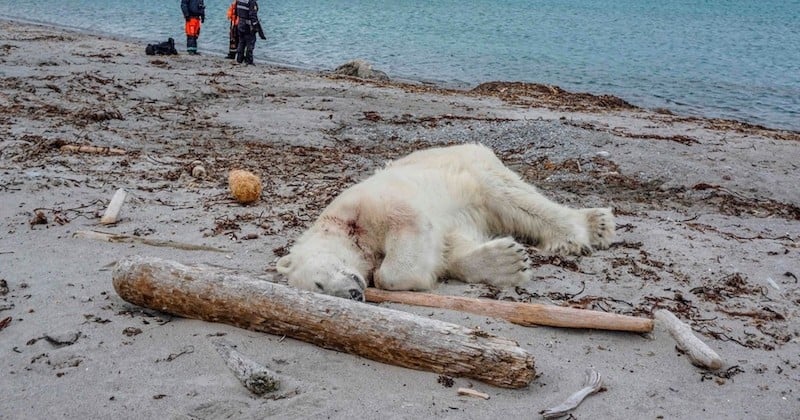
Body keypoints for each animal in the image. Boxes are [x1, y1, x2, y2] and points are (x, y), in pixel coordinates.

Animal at [276, 144, 612, 298]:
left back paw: (588, 229)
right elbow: (450, 247)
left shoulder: (368, 205)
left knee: (514, 199)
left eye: (318, 283)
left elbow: (405, 232)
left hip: (473, 169)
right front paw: (507, 262)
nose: (354, 294)